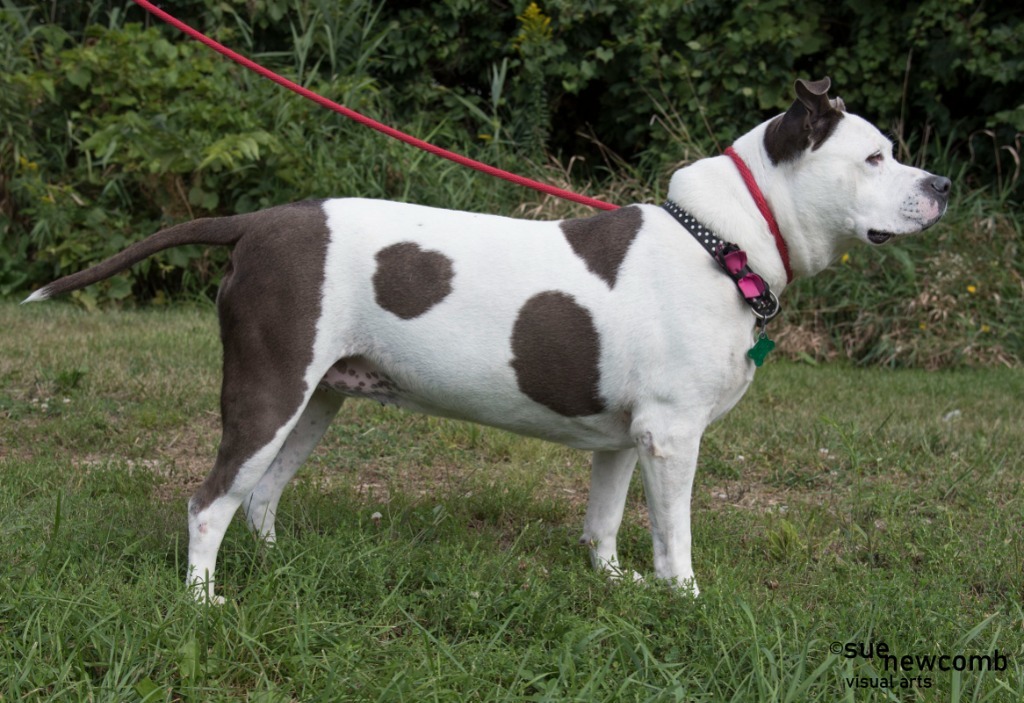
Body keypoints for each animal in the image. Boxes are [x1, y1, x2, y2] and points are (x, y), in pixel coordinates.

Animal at [24, 79, 950, 601]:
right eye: (875, 158)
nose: (941, 184)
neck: (720, 239)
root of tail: (257, 221)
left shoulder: (624, 440)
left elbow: (603, 524)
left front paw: (612, 586)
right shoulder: (672, 436)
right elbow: (673, 537)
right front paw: (681, 599)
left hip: (316, 401)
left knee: (260, 495)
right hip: (269, 392)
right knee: (208, 499)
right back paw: (201, 600)